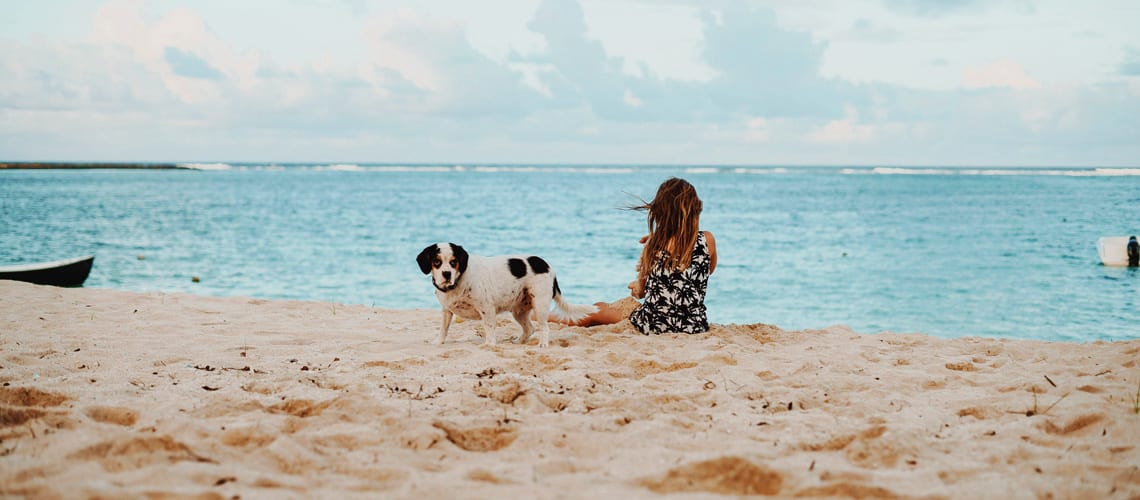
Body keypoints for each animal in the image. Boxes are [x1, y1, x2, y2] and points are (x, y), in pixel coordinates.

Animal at [419, 243, 597, 348]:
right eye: (436, 262)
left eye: (454, 261)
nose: (446, 273)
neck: (458, 280)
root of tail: (548, 266)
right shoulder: (446, 311)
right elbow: (443, 329)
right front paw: (439, 342)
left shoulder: (487, 309)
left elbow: (489, 328)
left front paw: (489, 345)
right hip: (519, 311)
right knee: (530, 329)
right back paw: (519, 342)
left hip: (540, 306)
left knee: (544, 328)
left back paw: (543, 345)